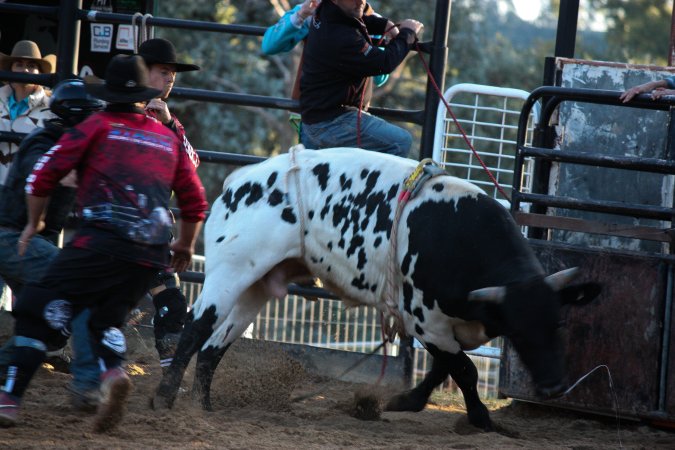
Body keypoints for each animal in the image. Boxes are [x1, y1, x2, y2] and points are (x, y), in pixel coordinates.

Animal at [152, 146, 600, 431]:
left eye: (558, 324)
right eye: (519, 333)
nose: (554, 386)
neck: (459, 237)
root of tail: (240, 181)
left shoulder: (446, 325)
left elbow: (445, 366)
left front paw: (407, 401)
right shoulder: (423, 319)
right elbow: (465, 370)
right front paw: (481, 419)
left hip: (257, 285)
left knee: (214, 346)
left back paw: (203, 407)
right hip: (228, 274)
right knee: (194, 330)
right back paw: (164, 400)